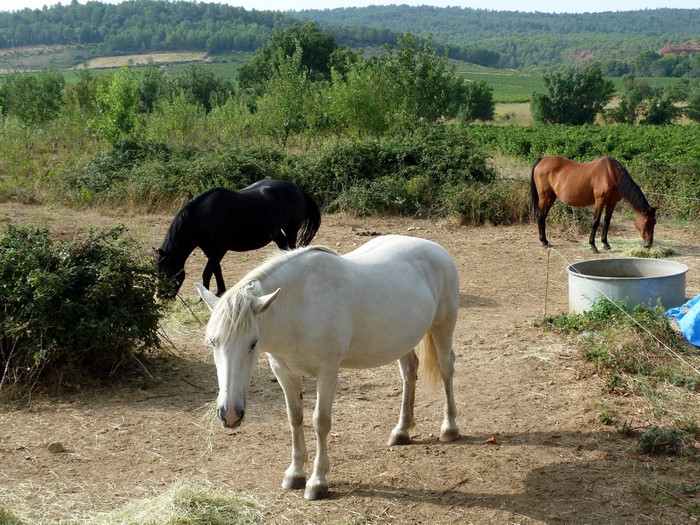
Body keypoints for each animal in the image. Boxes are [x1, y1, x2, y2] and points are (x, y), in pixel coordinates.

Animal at [157, 179, 321, 297]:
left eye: (167, 272)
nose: (161, 296)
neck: (203, 216)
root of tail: (299, 190)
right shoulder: (208, 248)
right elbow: (216, 269)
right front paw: (220, 291)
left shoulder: (220, 248)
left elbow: (207, 271)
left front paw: (202, 297)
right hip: (276, 234)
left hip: (291, 229)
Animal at [196, 234, 461, 500]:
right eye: (213, 342)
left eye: (253, 343)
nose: (230, 414)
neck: (299, 306)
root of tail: (436, 249)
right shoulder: (284, 373)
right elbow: (295, 417)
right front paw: (295, 474)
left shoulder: (327, 373)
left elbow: (320, 422)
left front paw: (317, 482)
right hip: (402, 340)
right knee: (409, 372)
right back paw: (401, 431)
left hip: (443, 329)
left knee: (446, 369)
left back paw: (449, 428)